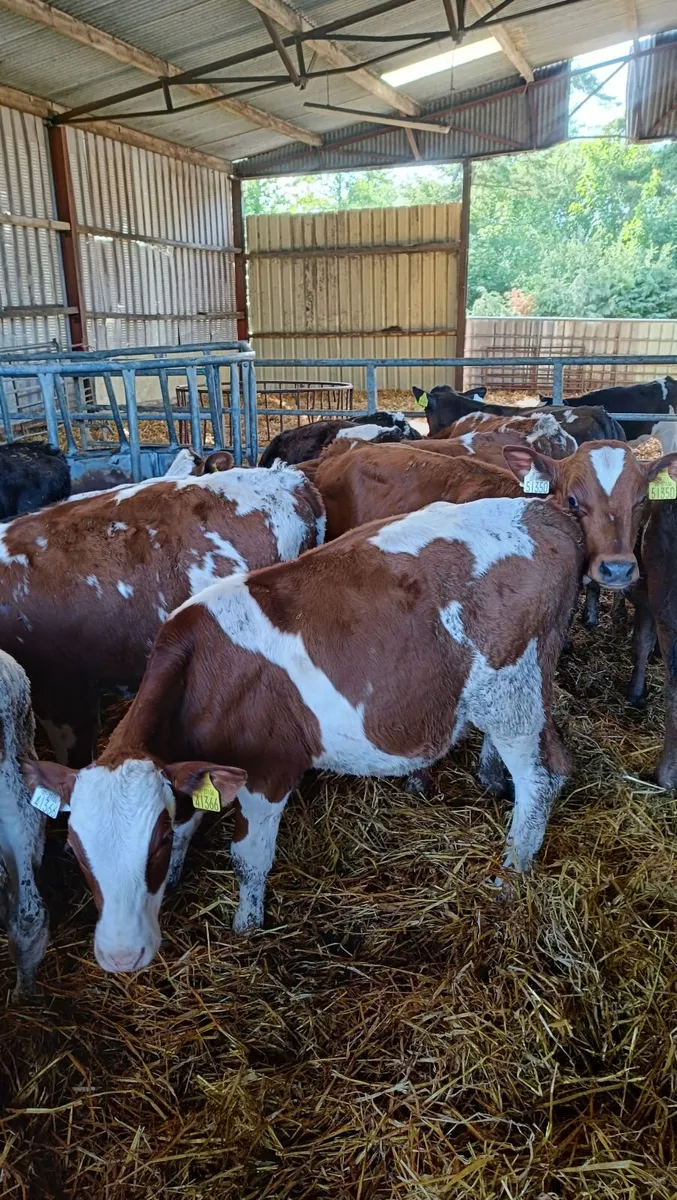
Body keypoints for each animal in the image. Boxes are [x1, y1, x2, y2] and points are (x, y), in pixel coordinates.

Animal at [26, 494, 584, 972]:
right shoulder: (192, 764)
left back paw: (510, 873)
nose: (122, 957)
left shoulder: (269, 768)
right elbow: (191, 818)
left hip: (513, 690)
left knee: (544, 776)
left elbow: (248, 859)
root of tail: (544, 511)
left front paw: (246, 927)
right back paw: (489, 778)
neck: (202, 668)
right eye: (75, 849)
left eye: (152, 844)